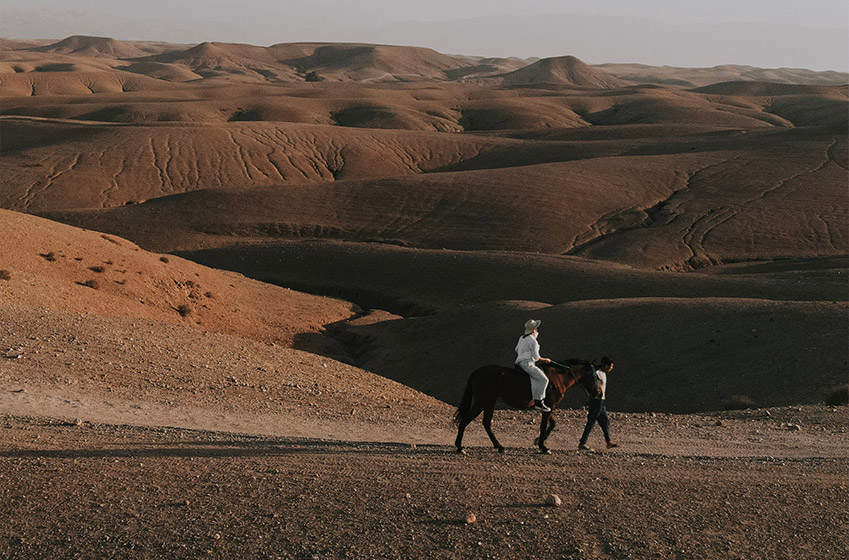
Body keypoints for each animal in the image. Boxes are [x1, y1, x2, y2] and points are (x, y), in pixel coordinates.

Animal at [454, 358, 600, 456]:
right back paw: (460, 447)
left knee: (486, 423)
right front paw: (543, 446)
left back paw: (499, 446)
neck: (557, 378)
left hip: (489, 403)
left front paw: (538, 441)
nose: (598, 394)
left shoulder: (549, 407)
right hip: (482, 402)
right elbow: (544, 425)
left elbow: (552, 424)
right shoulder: (550, 406)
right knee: (465, 421)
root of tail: (477, 372)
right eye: (596, 377)